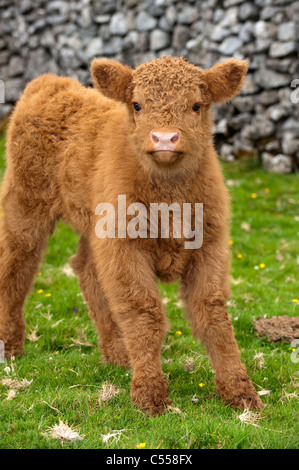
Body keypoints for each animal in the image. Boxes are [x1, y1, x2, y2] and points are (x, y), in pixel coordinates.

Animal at [0, 57, 262, 414]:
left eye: (196, 105)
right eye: (137, 105)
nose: (164, 138)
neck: (169, 199)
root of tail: (51, 82)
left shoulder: (210, 247)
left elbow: (213, 315)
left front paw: (241, 393)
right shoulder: (126, 250)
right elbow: (144, 314)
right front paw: (149, 394)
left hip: (94, 226)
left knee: (86, 269)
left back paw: (118, 354)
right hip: (25, 205)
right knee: (15, 266)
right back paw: (9, 345)